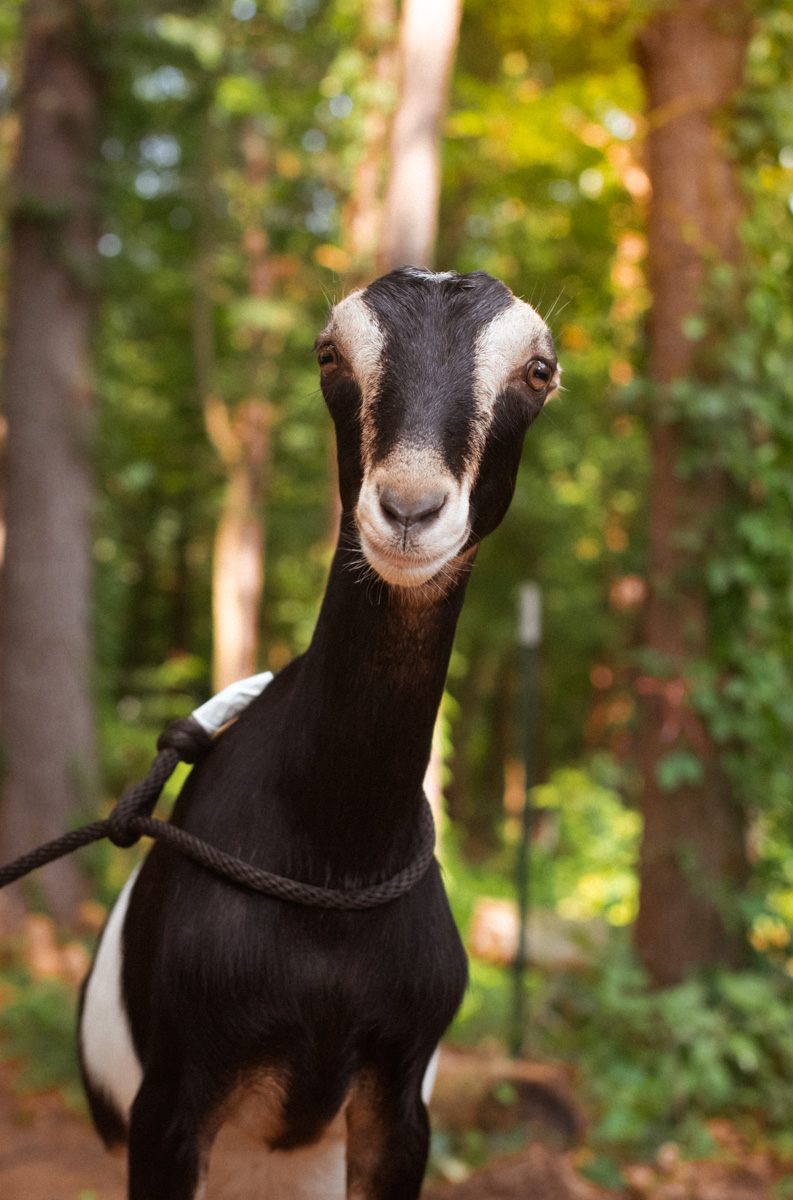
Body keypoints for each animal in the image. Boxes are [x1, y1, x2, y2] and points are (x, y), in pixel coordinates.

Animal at [78, 267, 559, 1200]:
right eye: (329, 354)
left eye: (539, 371)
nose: (408, 508)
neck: (336, 857)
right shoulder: (171, 1104)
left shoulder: (400, 1099)